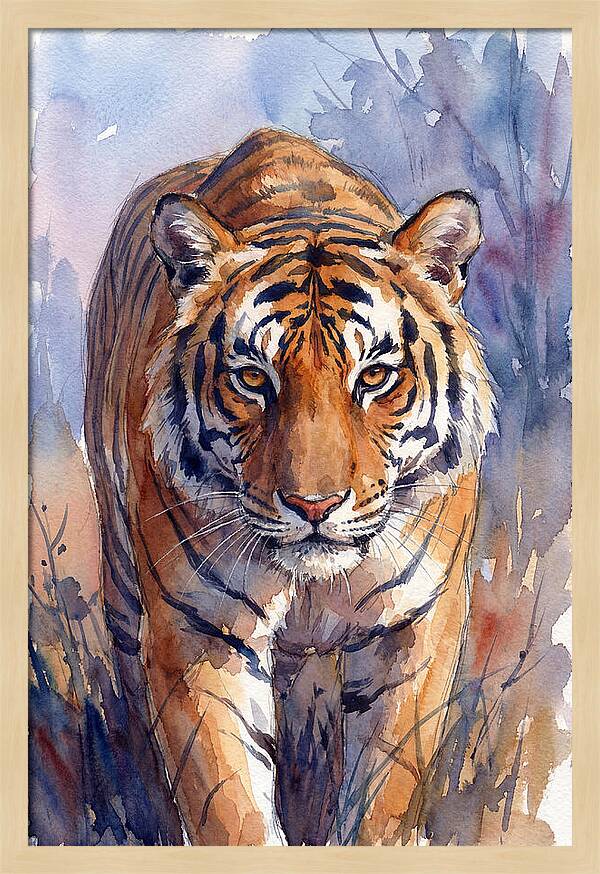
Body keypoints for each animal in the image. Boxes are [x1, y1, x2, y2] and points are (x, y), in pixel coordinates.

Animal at [85, 128, 495, 846]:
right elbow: (229, 808)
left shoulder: (417, 626)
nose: (314, 505)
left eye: (375, 376)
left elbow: (384, 790)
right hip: (121, 574)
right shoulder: (198, 631)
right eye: (253, 378)